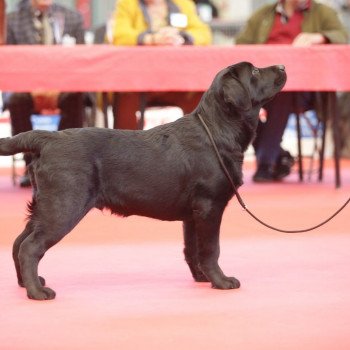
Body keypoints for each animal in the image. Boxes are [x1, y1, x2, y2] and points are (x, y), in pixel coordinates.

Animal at [0, 61, 286, 300]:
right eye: (255, 71)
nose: (282, 66)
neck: (216, 130)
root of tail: (47, 138)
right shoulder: (209, 206)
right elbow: (210, 249)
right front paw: (221, 281)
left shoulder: (193, 214)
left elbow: (192, 250)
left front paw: (202, 278)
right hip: (64, 205)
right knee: (30, 247)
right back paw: (37, 292)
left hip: (45, 205)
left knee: (18, 242)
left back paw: (27, 283)